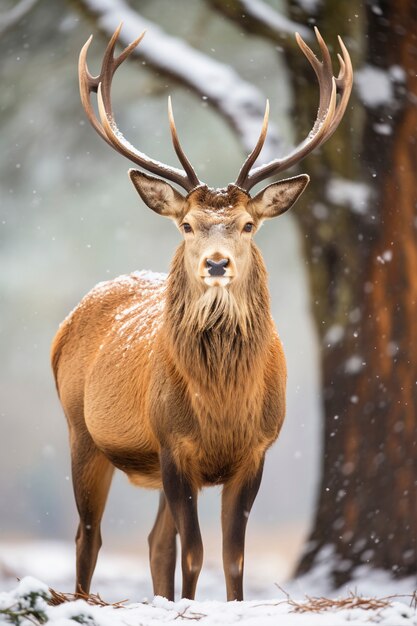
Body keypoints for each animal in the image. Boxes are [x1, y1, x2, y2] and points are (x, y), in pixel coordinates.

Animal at [51, 24, 352, 600]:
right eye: (187, 224)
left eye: (249, 225)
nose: (216, 263)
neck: (223, 406)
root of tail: (66, 324)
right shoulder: (173, 443)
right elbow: (194, 553)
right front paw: (190, 606)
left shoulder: (257, 449)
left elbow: (233, 557)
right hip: (82, 430)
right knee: (88, 535)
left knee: (152, 541)